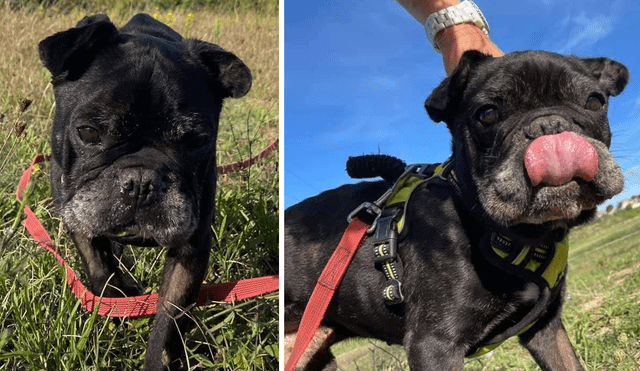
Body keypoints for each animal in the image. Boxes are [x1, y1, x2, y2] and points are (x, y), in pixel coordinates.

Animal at [38, 13, 252, 370]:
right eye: (88, 132)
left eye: (197, 140)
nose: (140, 180)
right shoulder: (76, 212)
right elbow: (100, 267)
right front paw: (113, 306)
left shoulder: (192, 245)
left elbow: (169, 319)